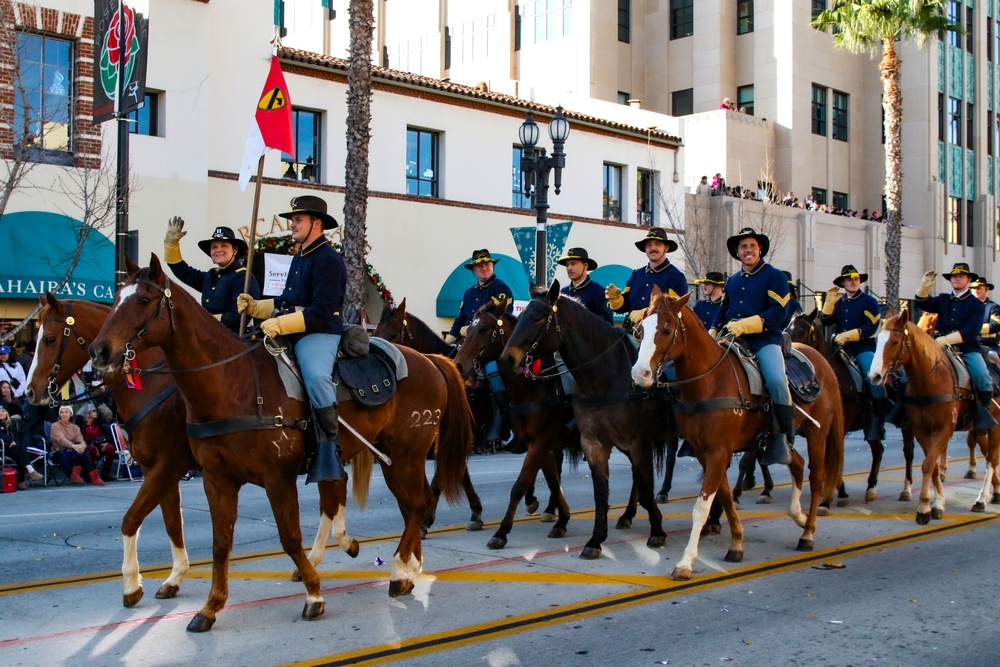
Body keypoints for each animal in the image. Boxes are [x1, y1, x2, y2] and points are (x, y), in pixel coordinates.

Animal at [22, 294, 364, 608]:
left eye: (50, 339)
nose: (30, 393)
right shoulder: (158, 469)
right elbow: (173, 522)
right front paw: (174, 578)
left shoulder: (167, 466)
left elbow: (131, 519)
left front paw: (132, 585)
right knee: (336, 488)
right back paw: (335, 547)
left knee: (333, 491)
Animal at [89, 258, 472, 636]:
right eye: (115, 298)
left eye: (143, 300)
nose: (100, 351)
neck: (232, 383)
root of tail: (429, 359)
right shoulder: (214, 478)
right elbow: (217, 542)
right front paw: (209, 606)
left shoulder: (273, 478)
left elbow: (288, 537)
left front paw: (314, 595)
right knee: (404, 505)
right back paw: (406, 569)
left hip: (404, 455)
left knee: (417, 503)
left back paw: (397, 569)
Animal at [496, 280, 668, 560]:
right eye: (519, 318)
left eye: (536, 318)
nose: (506, 359)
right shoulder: (592, 444)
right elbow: (597, 492)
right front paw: (594, 538)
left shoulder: (637, 441)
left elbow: (644, 484)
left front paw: (658, 529)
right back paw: (627, 515)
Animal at [632, 290, 844, 580]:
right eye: (641, 329)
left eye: (666, 330)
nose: (640, 374)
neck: (710, 381)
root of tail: (822, 361)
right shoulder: (705, 452)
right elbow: (724, 496)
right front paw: (736, 544)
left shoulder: (719, 451)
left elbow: (702, 506)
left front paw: (686, 562)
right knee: (797, 464)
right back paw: (798, 516)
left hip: (816, 435)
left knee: (817, 476)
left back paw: (808, 533)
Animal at [868, 308, 1000, 520]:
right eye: (877, 340)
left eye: (894, 342)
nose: (874, 376)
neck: (930, 380)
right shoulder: (921, 429)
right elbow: (933, 464)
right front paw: (938, 503)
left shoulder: (945, 429)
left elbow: (928, 464)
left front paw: (924, 507)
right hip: (979, 427)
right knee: (988, 453)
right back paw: (994, 492)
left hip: (995, 425)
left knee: (992, 459)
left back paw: (981, 499)